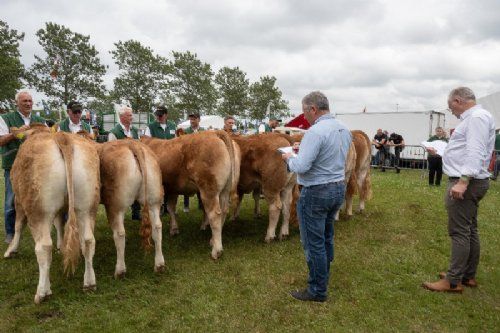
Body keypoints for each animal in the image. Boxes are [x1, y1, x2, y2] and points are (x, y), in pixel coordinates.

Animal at [4, 130, 99, 304]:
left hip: (39, 211)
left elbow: (18, 225)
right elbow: (60, 223)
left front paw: (11, 250)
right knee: (88, 241)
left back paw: (43, 292)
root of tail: (62, 137)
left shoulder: (19, 201)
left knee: (43, 247)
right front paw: (61, 246)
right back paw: (89, 283)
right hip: (87, 206)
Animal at [98, 140, 165, 278]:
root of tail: (132, 144)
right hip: (154, 199)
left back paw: (120, 271)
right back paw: (159, 265)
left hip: (116, 205)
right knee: (157, 227)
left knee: (119, 233)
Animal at [143, 130, 238, 260]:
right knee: (223, 211)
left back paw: (216, 251)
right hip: (225, 190)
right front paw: (174, 228)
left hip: (208, 189)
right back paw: (213, 240)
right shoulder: (173, 189)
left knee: (214, 214)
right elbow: (171, 207)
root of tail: (215, 132)